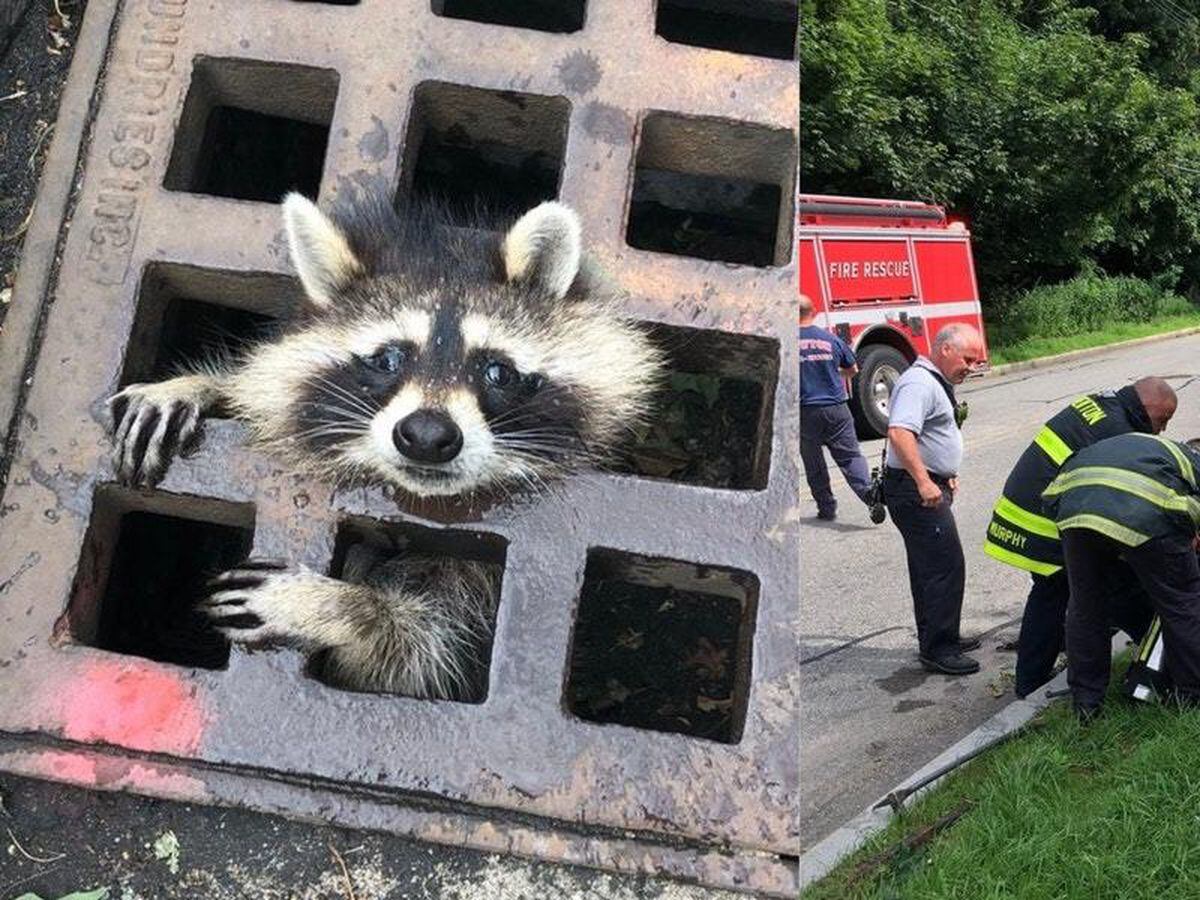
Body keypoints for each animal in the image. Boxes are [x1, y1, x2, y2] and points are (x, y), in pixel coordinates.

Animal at [106, 190, 662, 700]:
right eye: (388, 359)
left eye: (497, 371)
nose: (427, 436)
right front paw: (199, 385)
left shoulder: (474, 592)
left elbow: (416, 653)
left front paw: (342, 607)